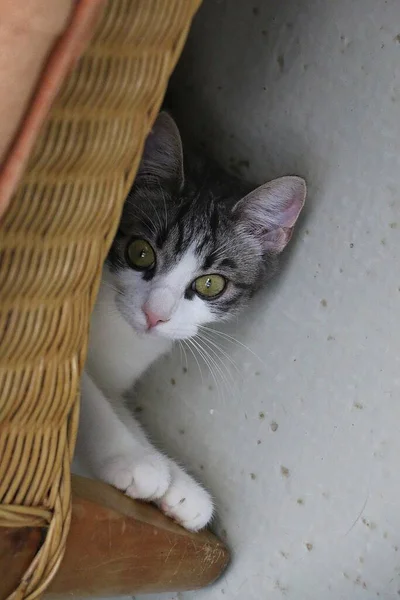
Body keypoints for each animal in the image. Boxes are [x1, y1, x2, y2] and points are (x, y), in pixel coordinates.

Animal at [76, 111, 304, 528]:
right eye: (140, 253)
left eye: (210, 284)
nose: (154, 314)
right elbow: (87, 396)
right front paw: (134, 459)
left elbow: (116, 404)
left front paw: (181, 486)